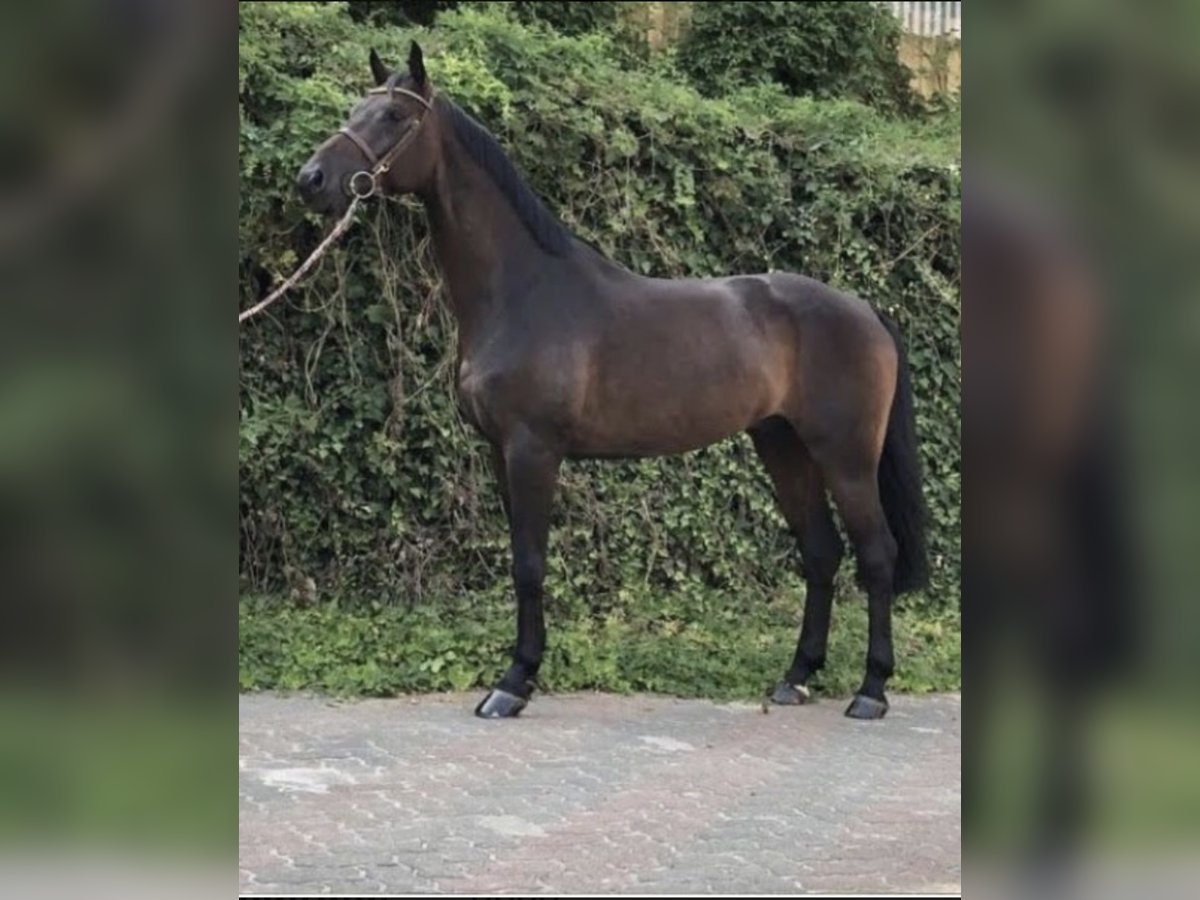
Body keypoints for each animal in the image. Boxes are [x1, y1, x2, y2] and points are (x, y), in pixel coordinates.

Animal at [292, 42, 926, 724]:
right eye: (355, 110)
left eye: (392, 117)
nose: (312, 180)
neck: (524, 292)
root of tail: (865, 310)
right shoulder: (499, 453)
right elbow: (521, 559)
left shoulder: (533, 451)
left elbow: (529, 564)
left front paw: (513, 683)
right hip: (783, 447)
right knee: (820, 552)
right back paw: (796, 677)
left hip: (847, 458)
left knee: (876, 555)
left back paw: (871, 691)